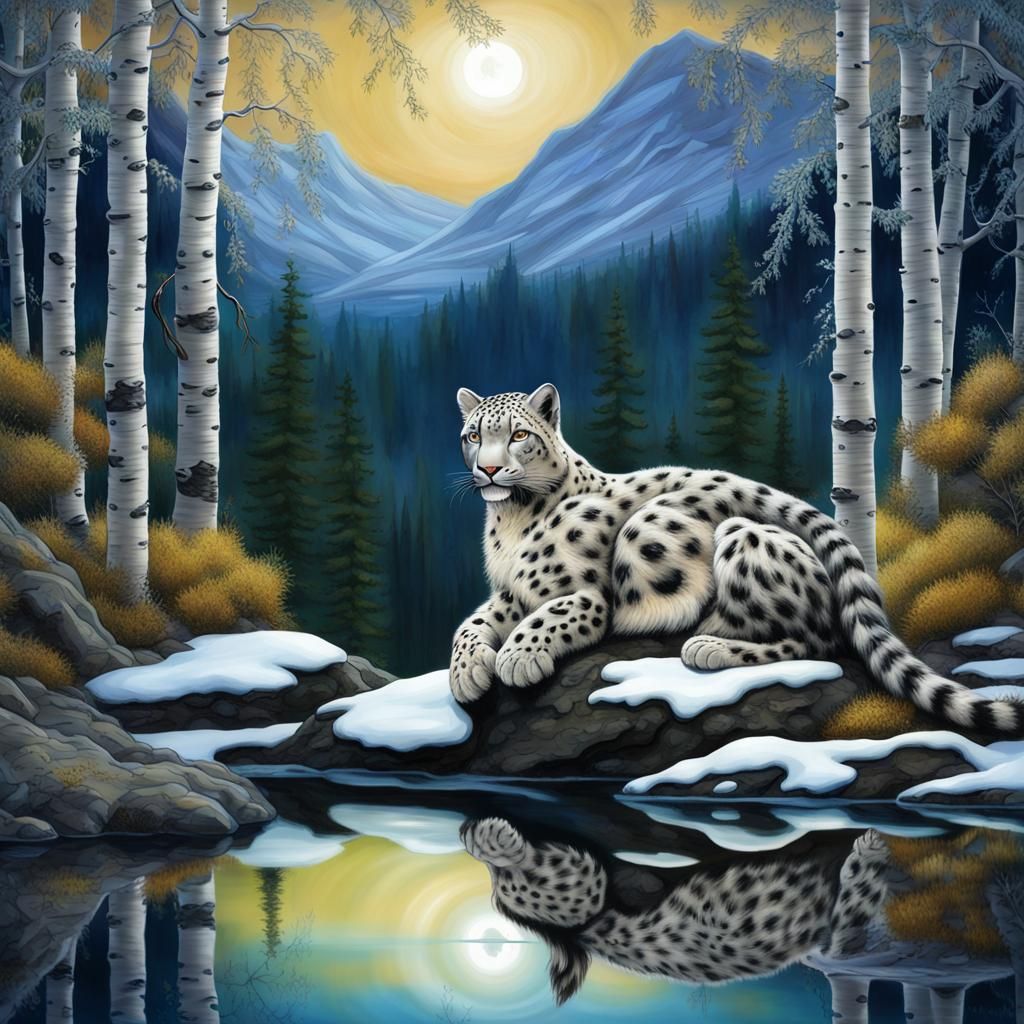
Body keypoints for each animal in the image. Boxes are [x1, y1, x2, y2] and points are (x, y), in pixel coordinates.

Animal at [448, 382, 1024, 735]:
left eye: (519, 434)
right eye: (474, 435)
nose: (490, 469)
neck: (510, 521)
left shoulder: (586, 593)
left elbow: (551, 613)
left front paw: (517, 658)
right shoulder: (508, 593)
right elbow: (470, 624)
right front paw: (467, 672)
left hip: (733, 536)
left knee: (818, 639)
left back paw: (710, 645)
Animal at [461, 816, 892, 1005]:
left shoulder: (840, 947)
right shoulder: (840, 945)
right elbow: (857, 893)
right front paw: (871, 848)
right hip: (583, 885)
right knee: (524, 869)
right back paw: (488, 833)